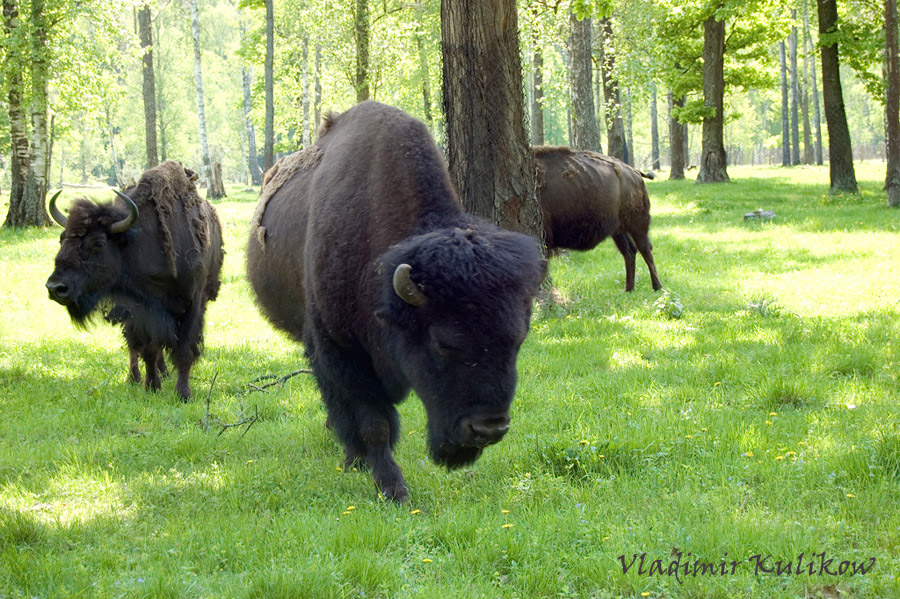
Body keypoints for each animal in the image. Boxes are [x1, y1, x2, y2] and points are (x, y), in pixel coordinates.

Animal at [44, 162, 224, 400]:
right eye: (62, 238)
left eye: (98, 243)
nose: (56, 288)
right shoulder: (141, 309)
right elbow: (148, 349)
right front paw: (151, 386)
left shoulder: (193, 304)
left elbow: (184, 350)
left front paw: (183, 393)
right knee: (135, 346)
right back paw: (134, 378)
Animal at [246, 102, 544, 502]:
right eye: (442, 342)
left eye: (518, 340)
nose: (489, 429)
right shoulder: (340, 349)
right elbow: (374, 423)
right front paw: (393, 488)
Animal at [536, 148, 660, 292]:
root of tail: (635, 173)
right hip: (618, 230)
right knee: (629, 251)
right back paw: (629, 288)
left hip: (637, 224)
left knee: (645, 250)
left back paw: (657, 286)